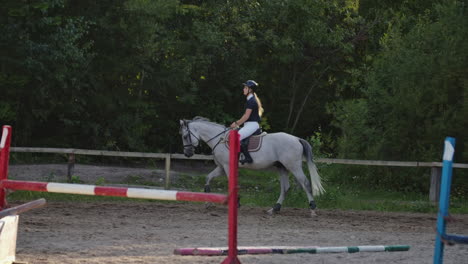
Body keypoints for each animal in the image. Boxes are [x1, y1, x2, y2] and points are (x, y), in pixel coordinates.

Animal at [179, 116, 326, 216]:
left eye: (185, 136)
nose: (187, 154)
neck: (219, 139)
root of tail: (296, 139)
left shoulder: (226, 166)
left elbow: (231, 183)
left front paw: (236, 203)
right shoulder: (221, 167)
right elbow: (208, 178)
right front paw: (208, 203)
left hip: (293, 166)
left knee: (305, 183)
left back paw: (312, 210)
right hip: (282, 167)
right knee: (285, 187)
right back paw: (274, 209)